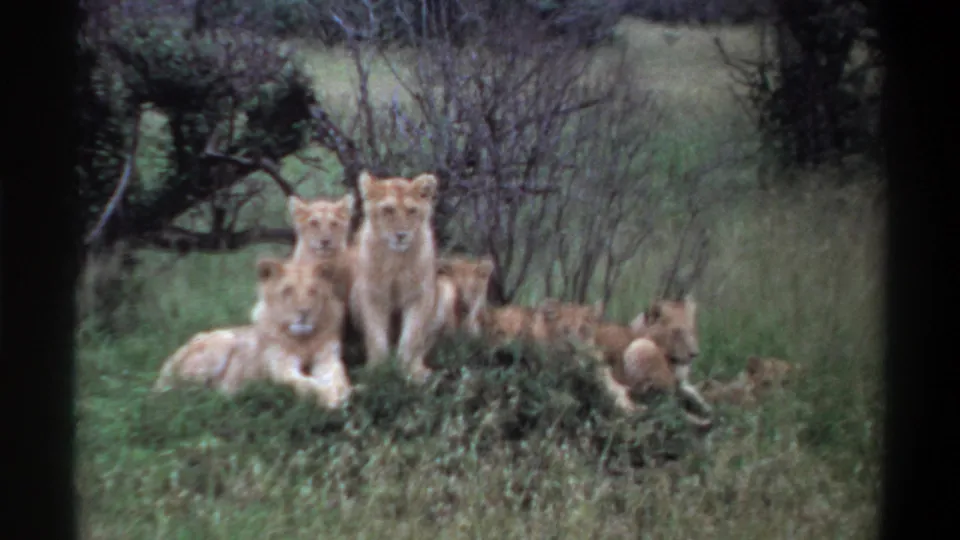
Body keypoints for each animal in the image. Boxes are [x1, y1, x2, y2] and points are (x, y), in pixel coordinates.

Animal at [154, 257, 353, 409]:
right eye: (287, 291)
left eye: (313, 291)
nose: (304, 312)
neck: (303, 340)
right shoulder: (281, 368)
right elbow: (306, 384)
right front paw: (329, 396)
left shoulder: (328, 359)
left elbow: (338, 377)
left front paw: (343, 392)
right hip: (224, 340)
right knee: (185, 394)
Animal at [349, 171, 440, 382]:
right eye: (388, 210)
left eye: (412, 211)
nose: (401, 235)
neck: (395, 261)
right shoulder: (372, 295)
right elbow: (376, 337)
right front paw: (378, 372)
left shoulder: (419, 295)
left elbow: (411, 336)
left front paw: (407, 372)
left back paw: (421, 370)